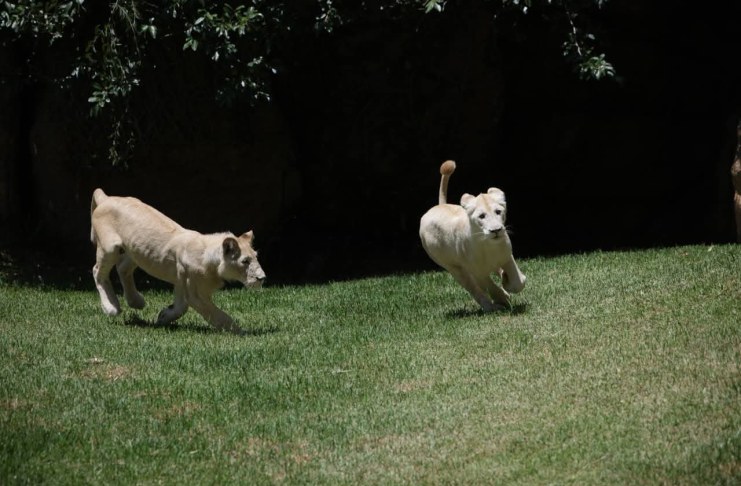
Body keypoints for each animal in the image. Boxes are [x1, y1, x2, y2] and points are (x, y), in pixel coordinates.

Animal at [90, 188, 266, 333]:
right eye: (245, 261)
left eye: (256, 257)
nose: (262, 278)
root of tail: (106, 198)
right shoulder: (196, 294)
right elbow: (218, 315)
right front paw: (241, 333)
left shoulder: (182, 282)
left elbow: (181, 307)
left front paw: (163, 316)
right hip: (109, 248)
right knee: (97, 272)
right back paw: (111, 307)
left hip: (135, 251)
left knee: (122, 268)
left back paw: (136, 301)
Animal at [419, 160, 526, 311]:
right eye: (481, 216)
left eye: (498, 212)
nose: (496, 230)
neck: (488, 246)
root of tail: (437, 207)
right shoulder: (477, 271)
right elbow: (489, 286)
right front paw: (502, 297)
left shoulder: (507, 257)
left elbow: (518, 282)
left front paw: (507, 281)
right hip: (454, 268)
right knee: (474, 288)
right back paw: (490, 307)